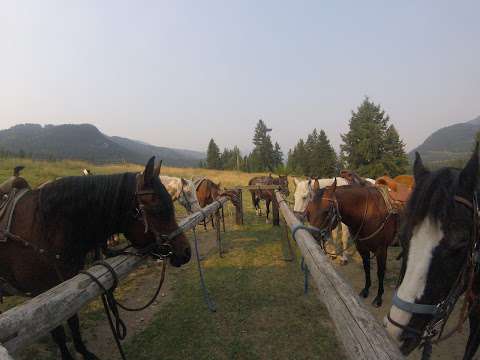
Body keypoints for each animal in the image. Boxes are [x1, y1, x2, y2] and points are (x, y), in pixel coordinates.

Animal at [0, 158, 191, 360]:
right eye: (158, 208)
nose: (186, 252)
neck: (43, 228)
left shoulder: (65, 288)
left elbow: (73, 321)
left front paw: (84, 352)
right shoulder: (40, 295)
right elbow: (58, 333)